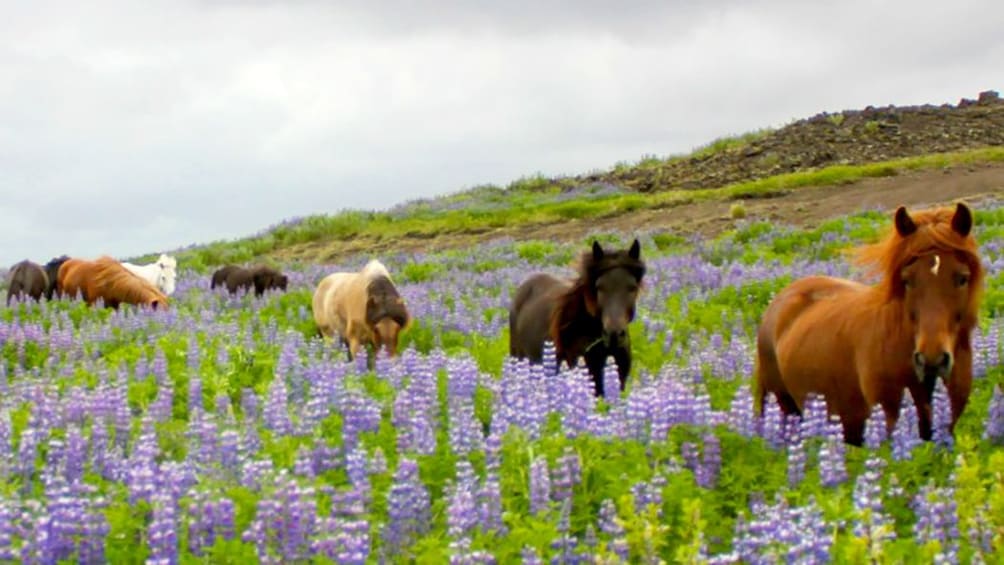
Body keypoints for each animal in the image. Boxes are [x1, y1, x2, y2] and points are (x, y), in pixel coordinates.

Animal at [755, 203, 983, 447]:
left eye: (962, 278)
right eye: (907, 280)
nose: (931, 359)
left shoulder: (946, 426)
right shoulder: (891, 420)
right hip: (786, 407)